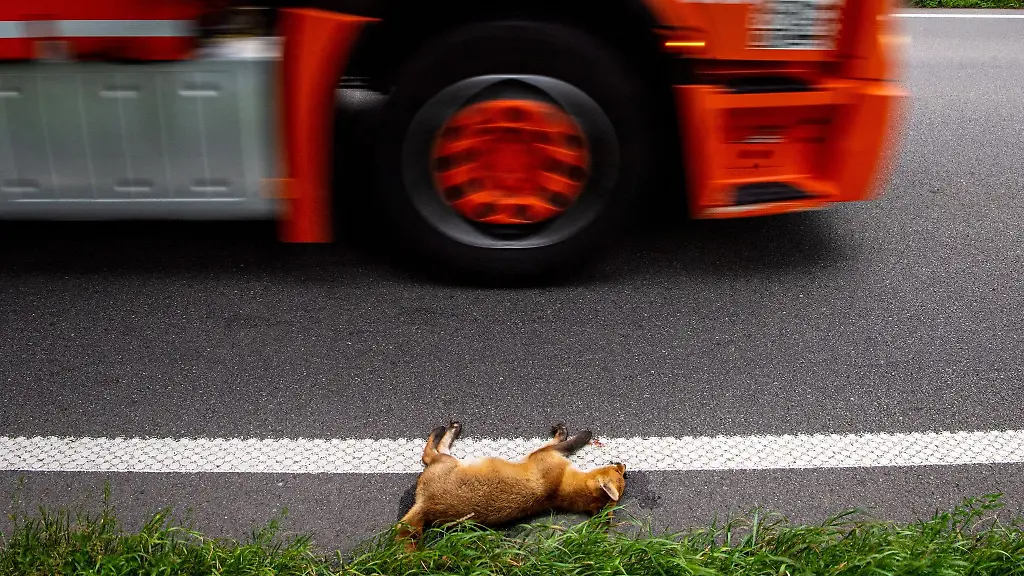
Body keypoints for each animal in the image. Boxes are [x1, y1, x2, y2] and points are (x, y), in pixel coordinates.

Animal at [396, 420, 626, 548]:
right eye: (619, 473)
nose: (623, 464)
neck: (560, 489)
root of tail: (425, 506)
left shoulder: (545, 454)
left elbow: (569, 442)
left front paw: (577, 434)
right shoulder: (545, 456)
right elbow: (568, 441)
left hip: (447, 462)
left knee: (429, 453)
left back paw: (445, 430)